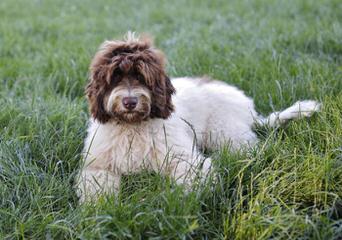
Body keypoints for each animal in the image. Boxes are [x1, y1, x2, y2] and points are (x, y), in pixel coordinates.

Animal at [76, 31, 320, 201]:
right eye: (116, 77)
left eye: (141, 76)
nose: (129, 102)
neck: (133, 126)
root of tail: (248, 107)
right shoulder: (97, 165)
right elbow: (96, 185)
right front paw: (99, 206)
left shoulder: (182, 157)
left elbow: (193, 176)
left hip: (225, 132)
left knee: (252, 150)